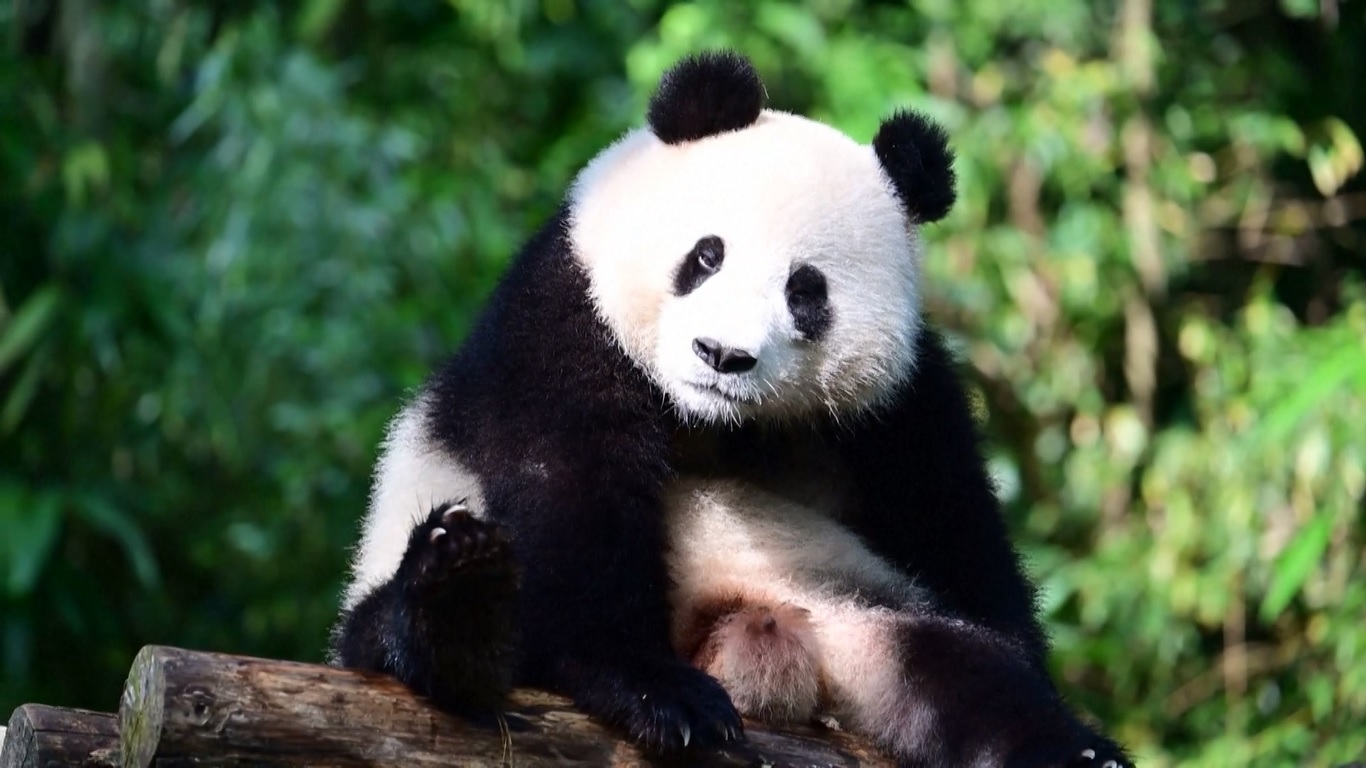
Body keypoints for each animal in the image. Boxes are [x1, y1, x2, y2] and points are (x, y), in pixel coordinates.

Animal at [330, 50, 1132, 768]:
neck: (712, 420)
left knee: (958, 674)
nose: (721, 354)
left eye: (805, 291)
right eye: (706, 255)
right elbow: (568, 486)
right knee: (393, 630)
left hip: (857, 616)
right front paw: (659, 694)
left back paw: (1075, 753)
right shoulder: (566, 315)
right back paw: (457, 603)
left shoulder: (900, 401)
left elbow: (955, 529)